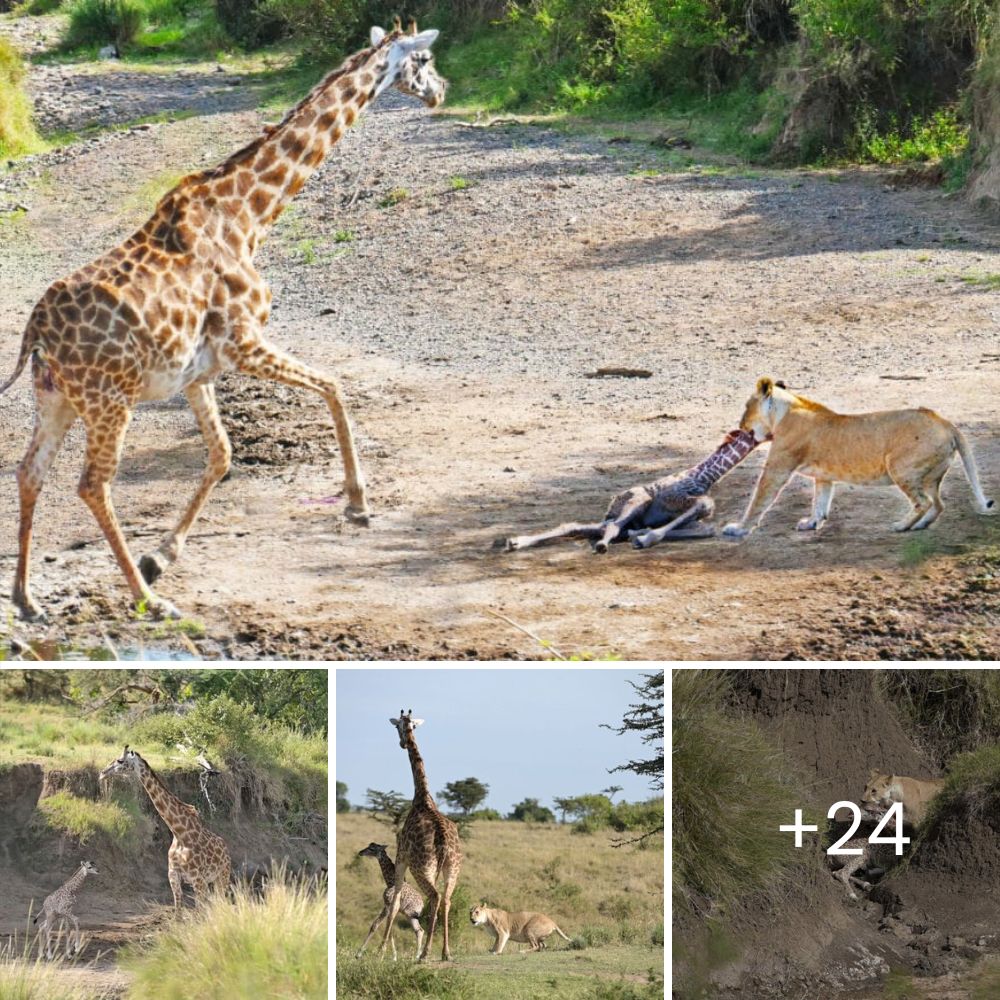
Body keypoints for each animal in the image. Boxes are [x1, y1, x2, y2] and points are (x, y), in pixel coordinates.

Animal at [0, 19, 446, 620]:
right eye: (423, 59)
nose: (440, 90)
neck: (249, 216)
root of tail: (36, 331)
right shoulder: (244, 342)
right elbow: (333, 387)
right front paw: (357, 503)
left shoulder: (199, 372)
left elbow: (222, 454)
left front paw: (162, 555)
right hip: (109, 401)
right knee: (92, 484)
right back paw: (148, 602)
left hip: (56, 398)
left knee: (30, 471)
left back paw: (27, 599)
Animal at [98, 744, 229, 908]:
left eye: (120, 760)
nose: (102, 773)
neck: (179, 832)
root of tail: (226, 848)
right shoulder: (173, 875)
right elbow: (178, 910)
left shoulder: (197, 879)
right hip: (212, 880)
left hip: (222, 875)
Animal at [380, 712, 462, 960]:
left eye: (397, 726)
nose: (402, 743)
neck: (422, 797)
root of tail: (443, 841)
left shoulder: (401, 857)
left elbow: (395, 901)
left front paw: (381, 950)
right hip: (451, 869)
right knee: (446, 899)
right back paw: (445, 952)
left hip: (420, 867)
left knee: (435, 897)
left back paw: (425, 953)